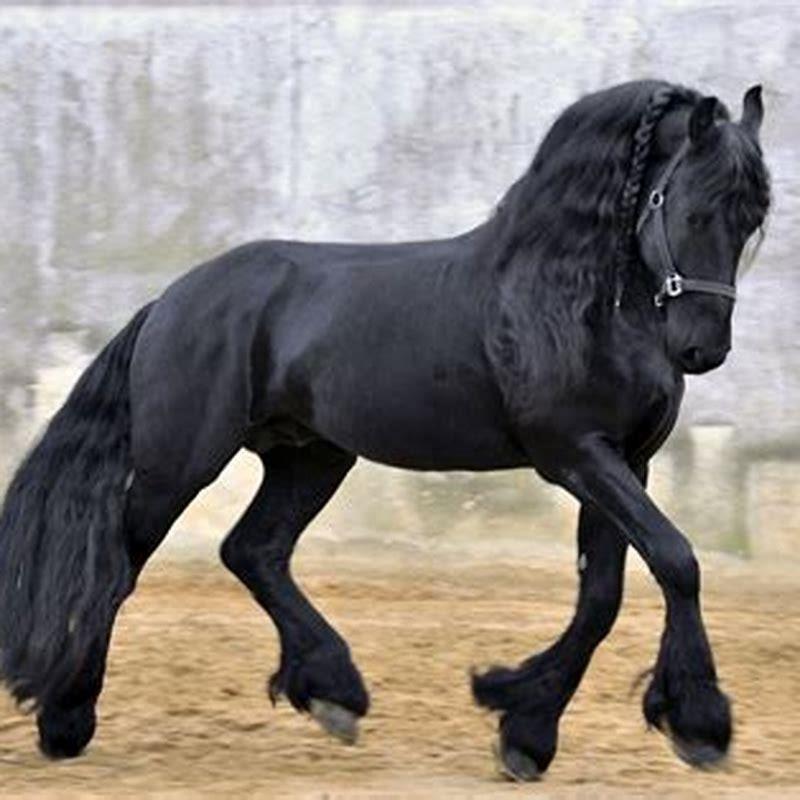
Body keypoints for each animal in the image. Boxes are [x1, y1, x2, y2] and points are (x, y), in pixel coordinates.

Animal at [0, 79, 770, 780]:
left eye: (754, 220)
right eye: (693, 209)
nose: (703, 349)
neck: (572, 298)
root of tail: (171, 300)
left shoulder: (623, 461)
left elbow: (602, 599)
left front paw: (524, 728)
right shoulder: (575, 454)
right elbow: (676, 559)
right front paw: (700, 725)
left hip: (310, 457)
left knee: (253, 549)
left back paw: (335, 695)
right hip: (181, 462)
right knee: (121, 565)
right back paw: (66, 720)